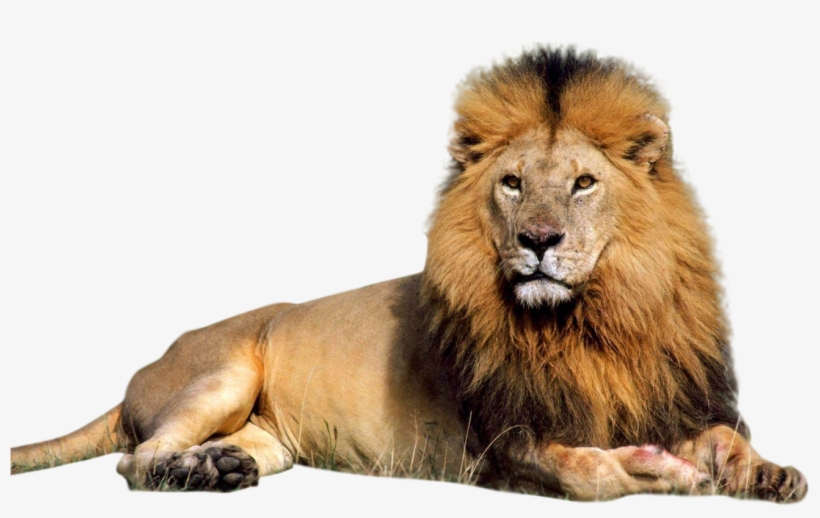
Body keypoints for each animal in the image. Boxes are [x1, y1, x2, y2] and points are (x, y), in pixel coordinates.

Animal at [10, 47, 808, 502]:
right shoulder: (503, 445)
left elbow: (726, 437)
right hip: (223, 372)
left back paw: (218, 467)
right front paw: (660, 472)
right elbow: (593, 474)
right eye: (512, 183)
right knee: (136, 457)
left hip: (269, 436)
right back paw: (187, 475)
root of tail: (139, 376)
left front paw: (768, 473)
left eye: (583, 183)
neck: (591, 322)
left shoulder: (660, 391)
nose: (538, 240)